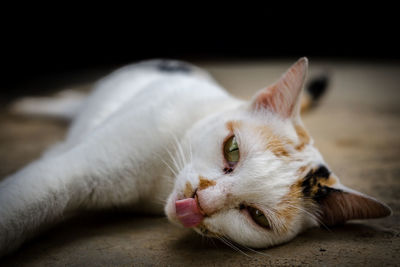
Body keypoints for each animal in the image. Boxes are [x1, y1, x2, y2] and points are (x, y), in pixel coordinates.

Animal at [0, 58, 390, 258]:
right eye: (232, 149)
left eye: (257, 217)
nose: (200, 200)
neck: (157, 185)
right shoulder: (74, 169)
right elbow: (27, 202)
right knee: (71, 102)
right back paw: (32, 105)